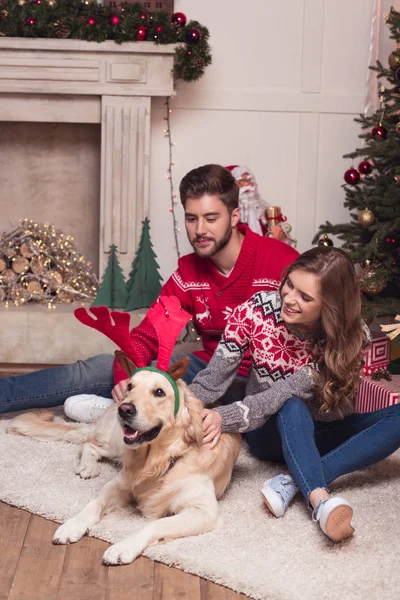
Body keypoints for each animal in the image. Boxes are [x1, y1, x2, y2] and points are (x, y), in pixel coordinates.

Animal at [7, 354, 242, 564]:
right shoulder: (119, 483)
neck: (161, 462)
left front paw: (122, 547)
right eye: (130, 386)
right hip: (115, 443)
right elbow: (95, 503)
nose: (125, 409)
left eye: (159, 392)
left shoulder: (203, 511)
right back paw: (88, 466)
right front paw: (72, 525)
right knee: (89, 443)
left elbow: (156, 524)